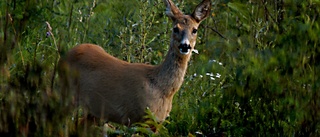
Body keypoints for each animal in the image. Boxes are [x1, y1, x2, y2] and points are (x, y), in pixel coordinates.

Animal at [60, 0, 211, 125]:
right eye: (175, 28)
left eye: (195, 30)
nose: (185, 46)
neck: (162, 88)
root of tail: (68, 52)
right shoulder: (139, 117)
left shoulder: (156, 123)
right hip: (66, 93)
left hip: (94, 112)